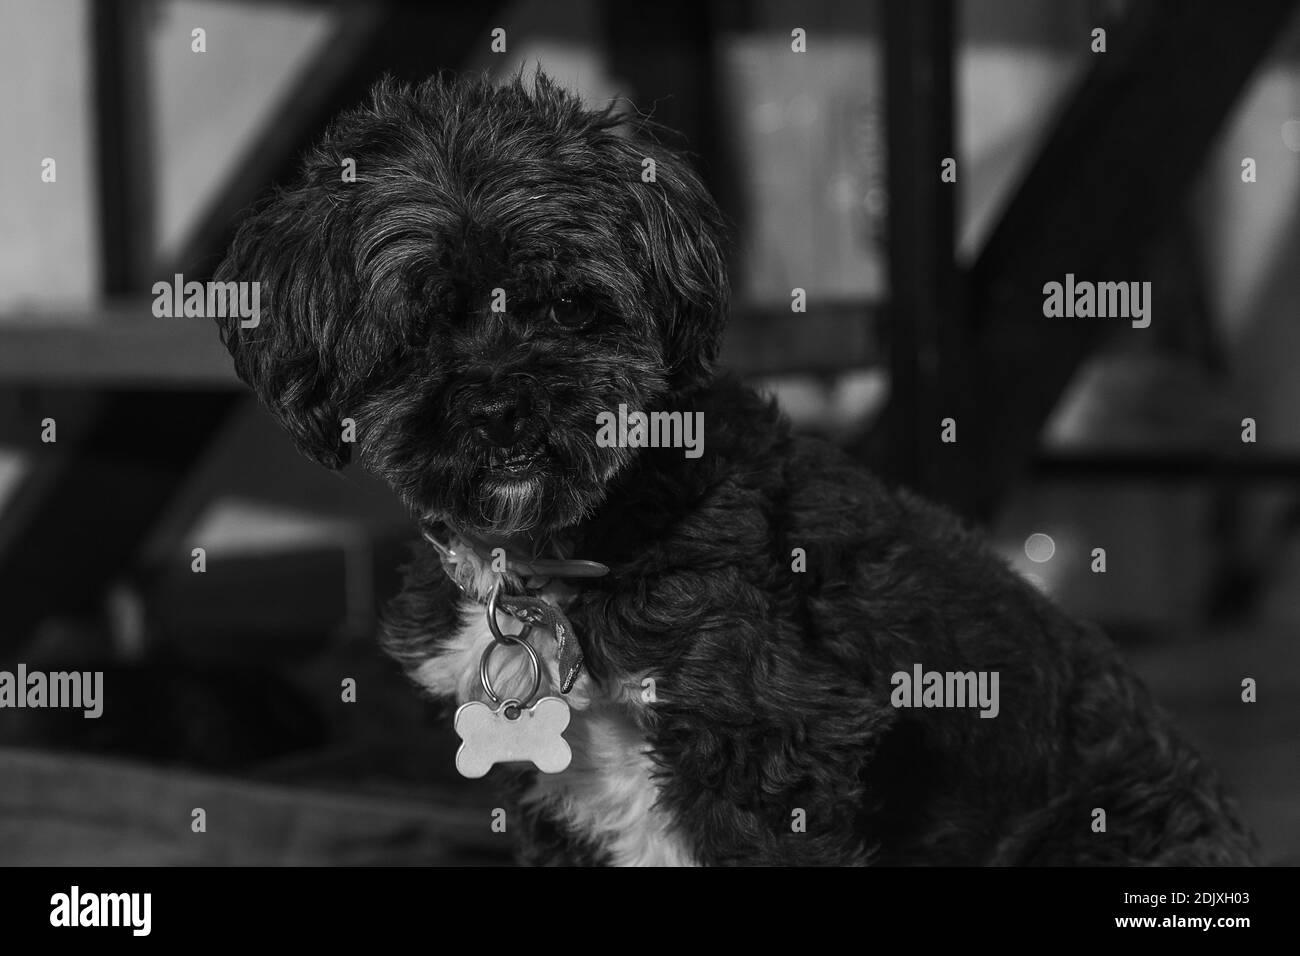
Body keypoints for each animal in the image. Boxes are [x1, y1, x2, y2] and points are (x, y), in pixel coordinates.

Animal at [218, 69, 1253, 868]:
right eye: (416, 329)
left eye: (570, 307)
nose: (503, 410)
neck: (563, 550)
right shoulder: (557, 793)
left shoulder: (781, 745)